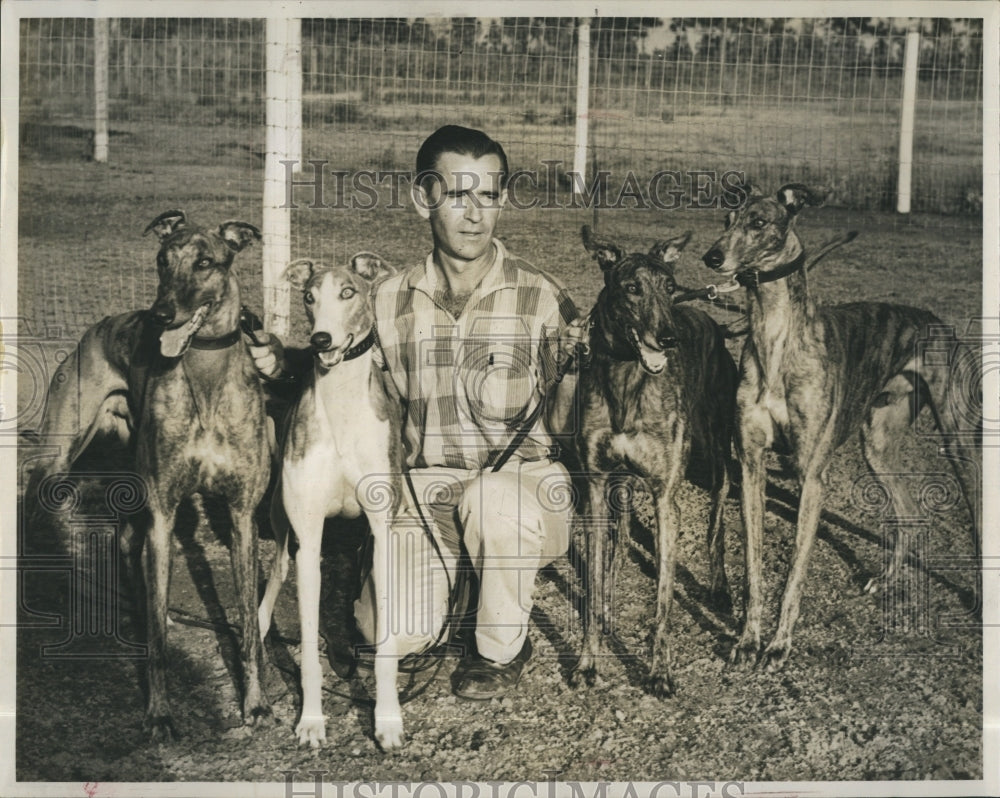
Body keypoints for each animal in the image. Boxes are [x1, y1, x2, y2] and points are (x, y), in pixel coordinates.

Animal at [25, 209, 272, 740]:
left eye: (205, 262)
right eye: (163, 259)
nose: (160, 315)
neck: (204, 372)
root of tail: (98, 327)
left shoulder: (241, 515)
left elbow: (247, 626)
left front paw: (257, 704)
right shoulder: (164, 513)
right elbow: (157, 644)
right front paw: (159, 712)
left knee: (124, 543)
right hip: (61, 455)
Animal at [258, 255, 410, 752]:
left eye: (348, 292)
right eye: (308, 296)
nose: (321, 339)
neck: (341, 405)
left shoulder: (382, 531)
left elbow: (385, 645)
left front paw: (387, 720)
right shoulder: (309, 538)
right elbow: (307, 646)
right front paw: (310, 721)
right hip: (280, 520)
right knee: (276, 569)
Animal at [568, 227, 740, 700]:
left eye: (669, 287)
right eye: (631, 288)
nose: (668, 339)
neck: (628, 379)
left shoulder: (666, 499)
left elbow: (663, 598)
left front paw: (659, 671)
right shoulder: (595, 487)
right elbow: (593, 586)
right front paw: (589, 662)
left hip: (715, 449)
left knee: (718, 515)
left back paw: (720, 585)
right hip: (624, 481)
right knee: (622, 533)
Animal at [704, 184, 984, 672]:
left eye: (758, 222)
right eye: (726, 220)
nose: (712, 257)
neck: (776, 338)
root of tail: (938, 323)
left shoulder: (812, 477)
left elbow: (794, 572)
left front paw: (779, 645)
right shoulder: (752, 467)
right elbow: (754, 569)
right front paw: (747, 640)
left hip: (958, 442)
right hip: (878, 443)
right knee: (910, 514)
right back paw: (885, 581)